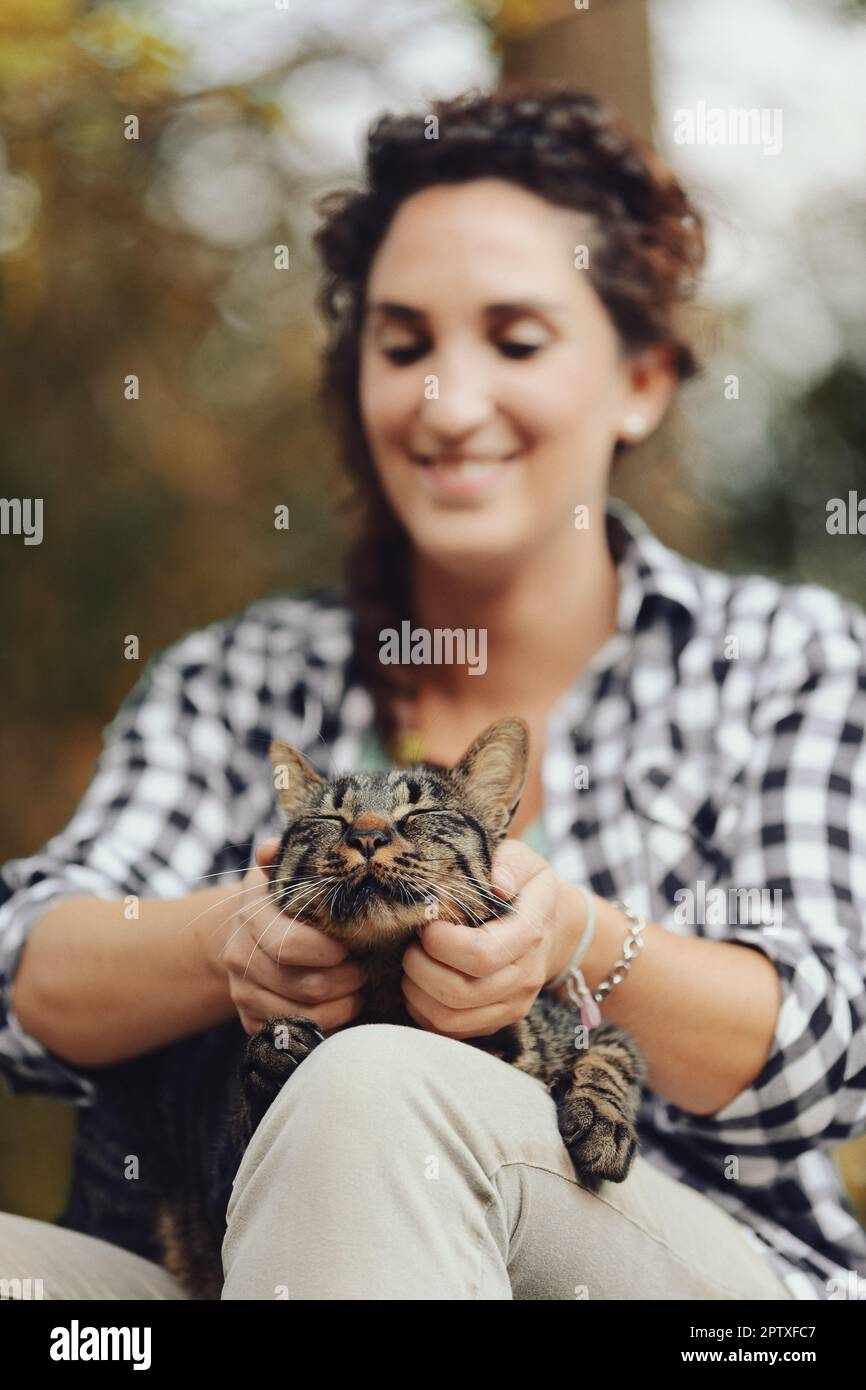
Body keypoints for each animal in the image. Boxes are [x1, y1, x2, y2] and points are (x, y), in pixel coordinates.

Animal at [152, 722, 644, 1295]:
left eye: (420, 811)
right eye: (330, 819)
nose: (367, 836)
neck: (388, 991)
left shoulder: (594, 1029)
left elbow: (609, 1063)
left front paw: (602, 1123)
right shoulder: (221, 1186)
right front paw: (275, 1052)